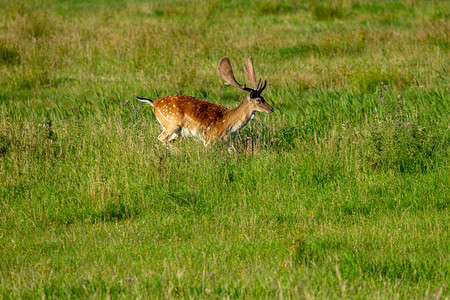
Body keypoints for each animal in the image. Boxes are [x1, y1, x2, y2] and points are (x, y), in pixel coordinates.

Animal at [135, 55, 272, 149]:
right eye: (259, 100)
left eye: (264, 97)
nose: (271, 109)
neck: (230, 122)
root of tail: (154, 103)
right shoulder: (208, 138)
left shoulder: (227, 141)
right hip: (172, 123)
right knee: (160, 138)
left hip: (175, 131)